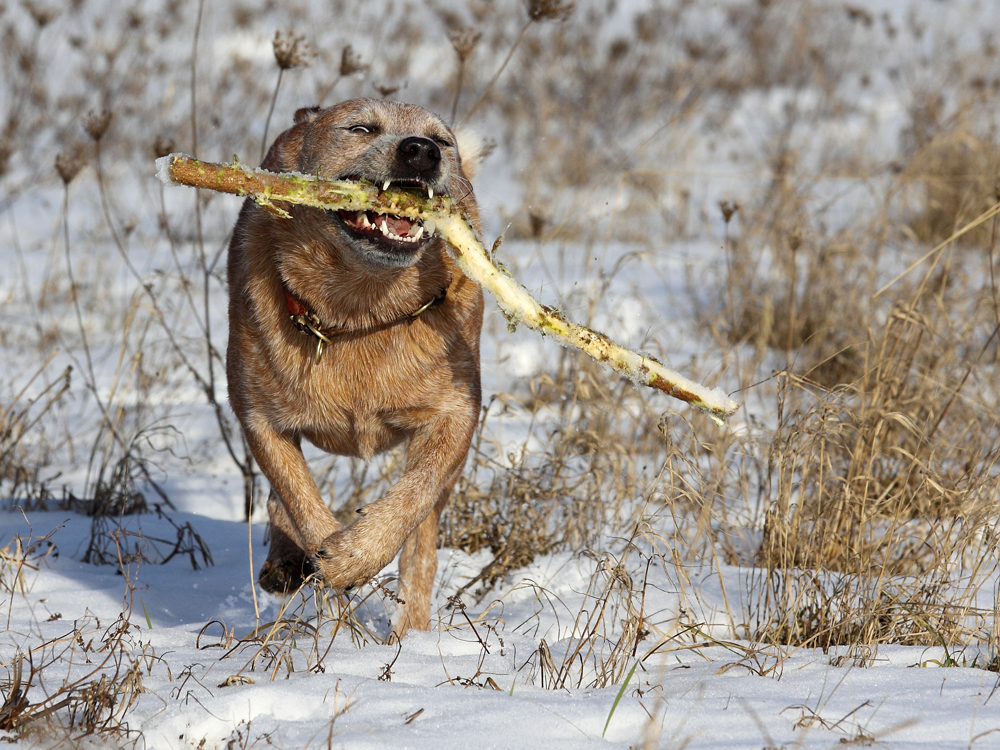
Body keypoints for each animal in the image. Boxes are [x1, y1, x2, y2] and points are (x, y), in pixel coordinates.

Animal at [230, 100, 488, 636]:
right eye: (361, 128)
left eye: (443, 140)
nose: (421, 151)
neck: (362, 310)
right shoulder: (259, 418)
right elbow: (299, 498)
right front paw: (332, 575)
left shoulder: (456, 413)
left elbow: (416, 495)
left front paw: (357, 555)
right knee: (278, 500)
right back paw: (286, 563)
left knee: (422, 543)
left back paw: (411, 633)